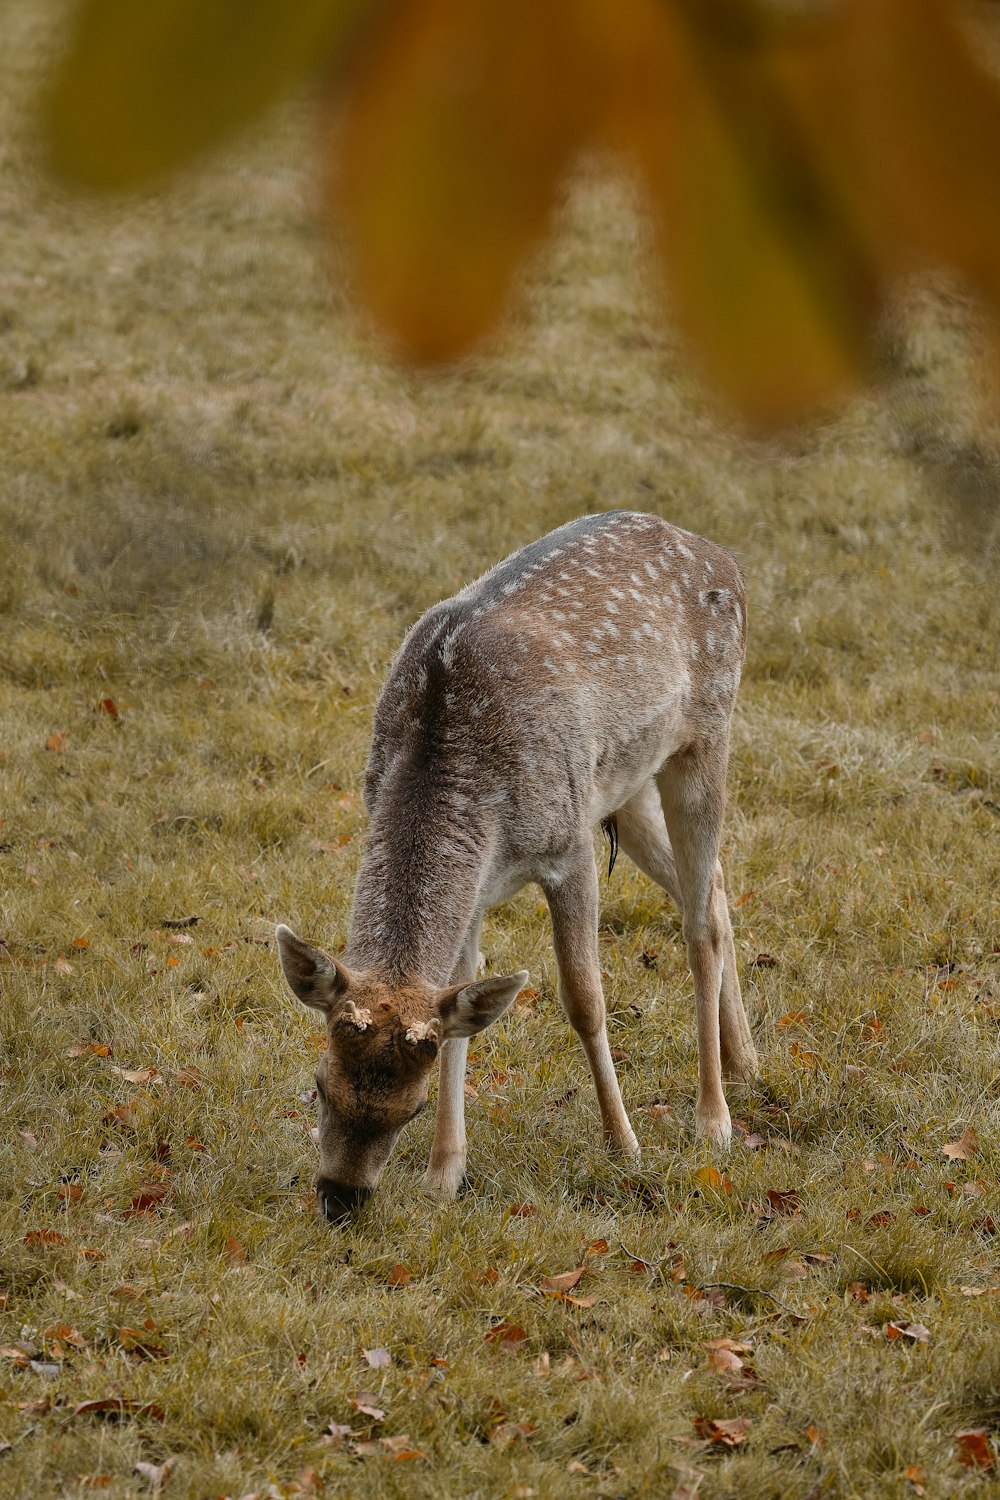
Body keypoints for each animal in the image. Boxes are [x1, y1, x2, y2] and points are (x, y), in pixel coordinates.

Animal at [277, 510, 755, 1224]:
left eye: (410, 1107)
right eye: (319, 1084)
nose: (340, 1198)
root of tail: (722, 556)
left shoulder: (569, 847)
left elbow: (584, 1000)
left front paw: (625, 1145)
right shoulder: (477, 885)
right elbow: (458, 1008)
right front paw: (444, 1174)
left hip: (706, 736)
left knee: (699, 926)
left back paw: (713, 1118)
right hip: (624, 784)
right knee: (716, 889)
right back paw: (746, 1059)